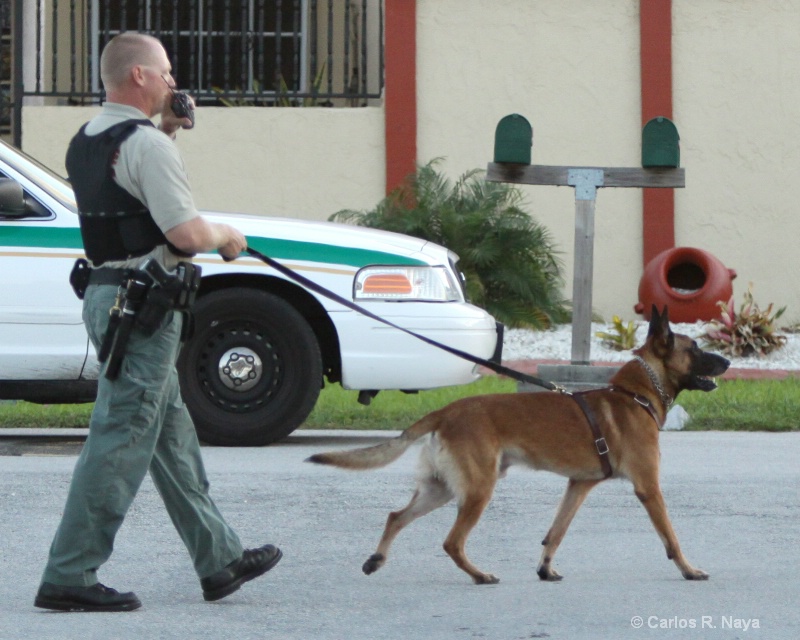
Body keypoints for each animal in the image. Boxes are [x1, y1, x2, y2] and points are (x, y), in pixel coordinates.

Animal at [308, 308, 732, 584]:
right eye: (695, 348)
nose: (728, 362)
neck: (636, 394)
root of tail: (445, 411)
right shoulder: (649, 488)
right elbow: (671, 536)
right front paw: (689, 569)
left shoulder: (578, 485)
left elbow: (556, 531)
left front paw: (545, 569)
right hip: (478, 489)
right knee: (451, 542)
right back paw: (480, 575)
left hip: (441, 488)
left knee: (396, 516)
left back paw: (377, 560)